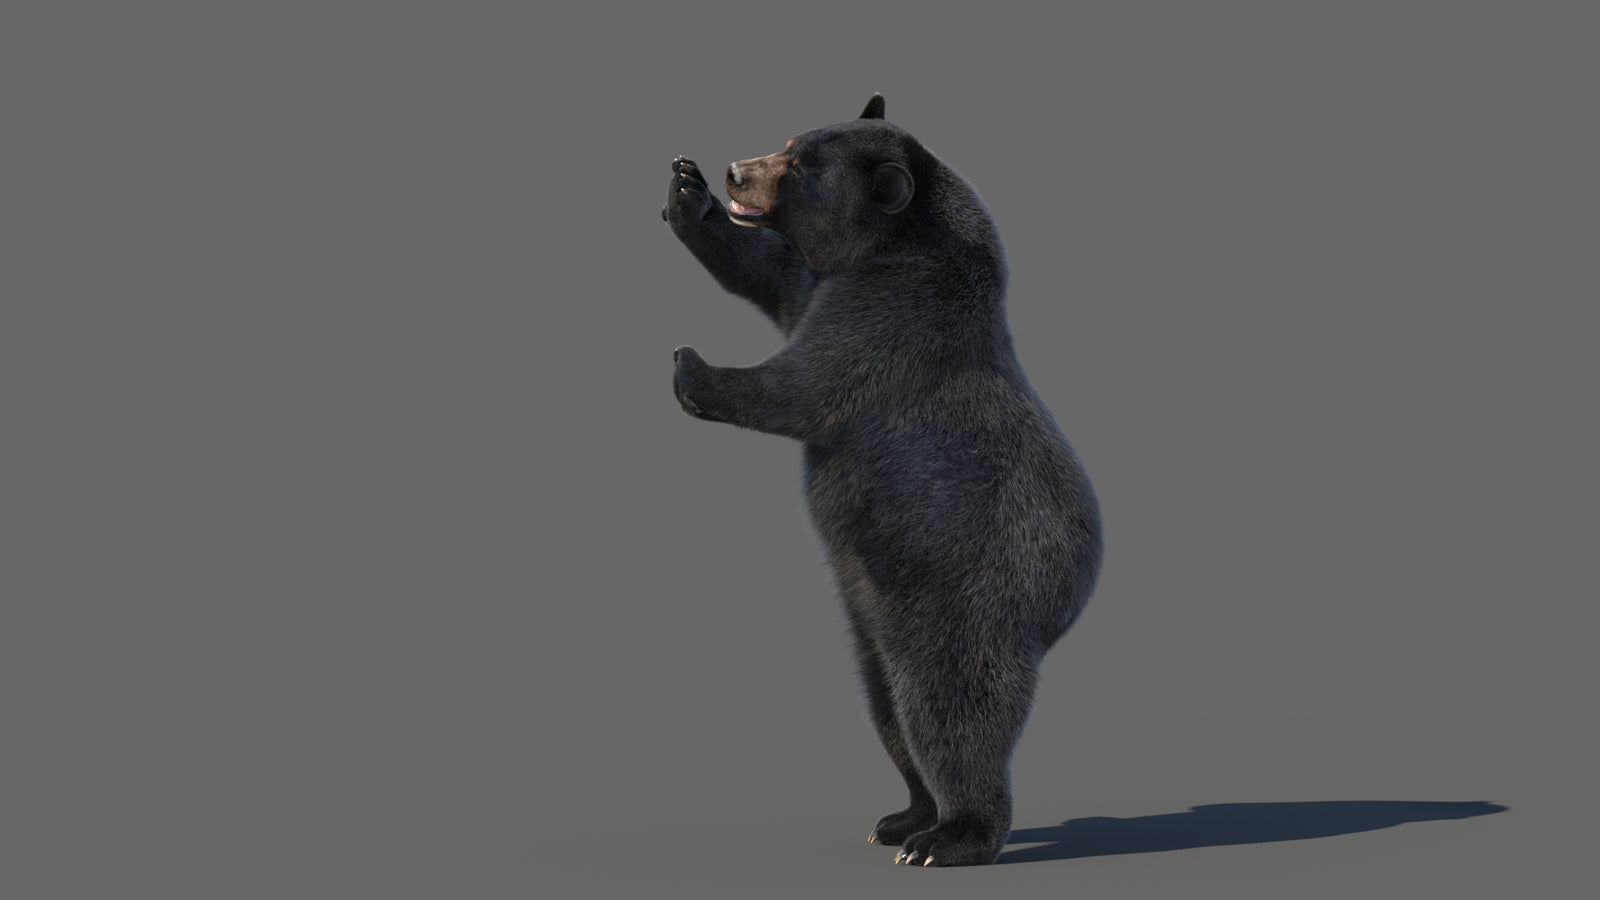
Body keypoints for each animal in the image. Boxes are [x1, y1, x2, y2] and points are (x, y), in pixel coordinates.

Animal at [661, 95, 1103, 867]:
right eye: (789, 141)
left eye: (802, 165)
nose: (737, 170)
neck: (889, 244)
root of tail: (1069, 601)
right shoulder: (818, 281)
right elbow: (766, 270)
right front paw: (687, 193)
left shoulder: (894, 308)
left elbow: (809, 385)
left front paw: (692, 366)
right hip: (874, 617)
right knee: (886, 707)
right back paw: (903, 816)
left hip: (970, 599)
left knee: (948, 712)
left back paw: (951, 836)